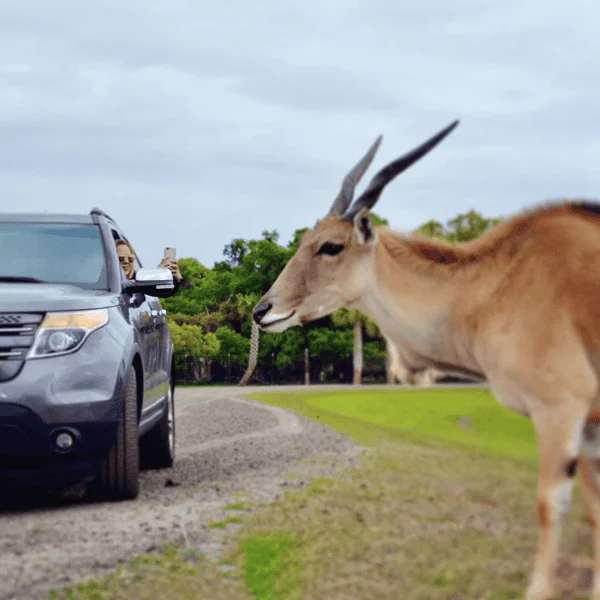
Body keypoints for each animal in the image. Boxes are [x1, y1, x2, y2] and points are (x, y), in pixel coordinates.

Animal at [252, 119, 600, 596]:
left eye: (330, 246)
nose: (262, 310)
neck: (495, 286)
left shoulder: (561, 407)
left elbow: (552, 505)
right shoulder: (589, 426)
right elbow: (595, 512)